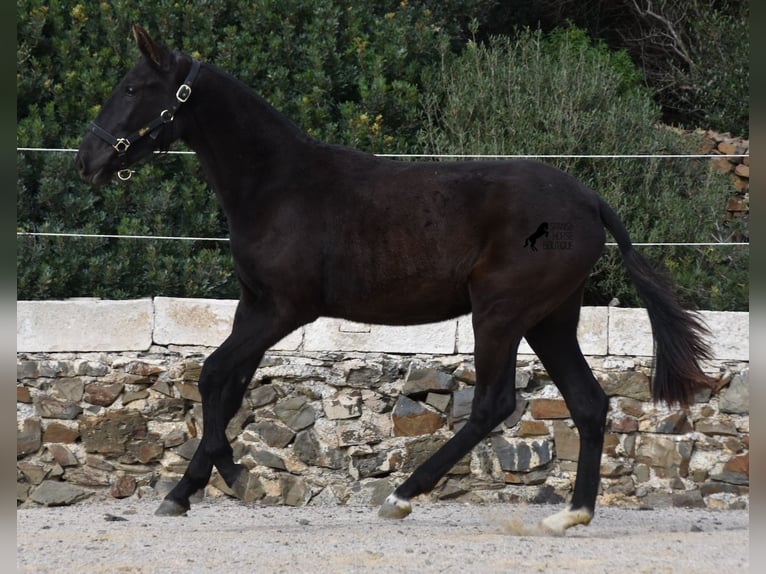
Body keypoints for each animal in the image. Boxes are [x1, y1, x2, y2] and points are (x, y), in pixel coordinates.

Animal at [78, 27, 712, 536]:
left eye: (133, 88)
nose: (87, 161)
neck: (278, 185)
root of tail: (589, 201)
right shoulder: (253, 306)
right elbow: (228, 387)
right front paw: (184, 492)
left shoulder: (285, 308)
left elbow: (212, 375)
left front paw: (235, 474)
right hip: (551, 319)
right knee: (588, 402)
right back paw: (571, 515)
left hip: (501, 312)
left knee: (494, 403)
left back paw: (402, 496)